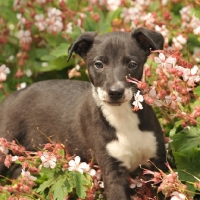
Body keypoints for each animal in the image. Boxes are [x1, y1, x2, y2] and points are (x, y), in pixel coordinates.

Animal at [0, 27, 166, 199]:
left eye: (132, 64)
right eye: (99, 64)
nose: (115, 92)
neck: (122, 117)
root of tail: (10, 97)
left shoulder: (159, 161)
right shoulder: (112, 171)